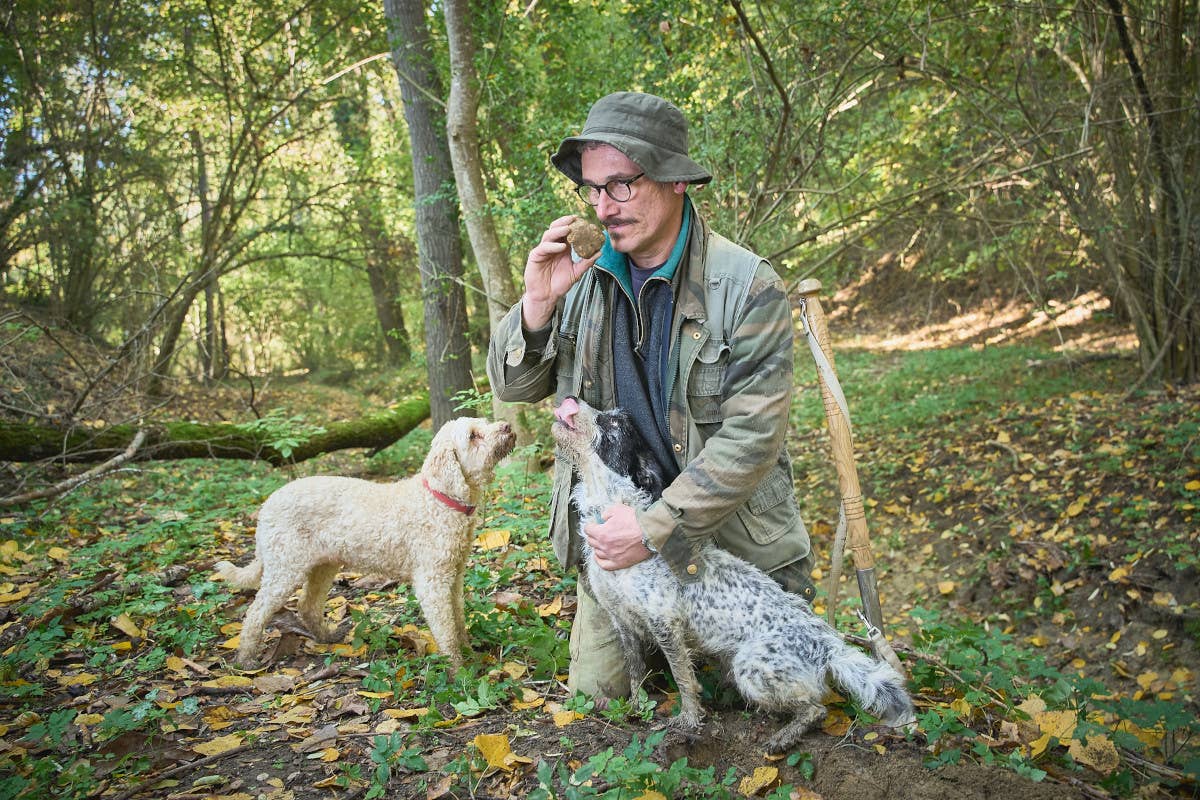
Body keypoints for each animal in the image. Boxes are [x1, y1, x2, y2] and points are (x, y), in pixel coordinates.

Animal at [216, 419, 516, 671]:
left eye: (484, 422)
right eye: (473, 435)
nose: (507, 426)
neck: (439, 499)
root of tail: (266, 506)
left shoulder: (454, 576)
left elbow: (459, 620)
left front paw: (470, 653)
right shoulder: (432, 582)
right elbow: (446, 630)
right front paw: (458, 669)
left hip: (323, 565)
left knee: (307, 605)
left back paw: (327, 637)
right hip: (285, 568)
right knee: (255, 613)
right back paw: (245, 659)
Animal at [554, 398, 916, 753]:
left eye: (614, 423)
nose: (569, 399)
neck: (607, 511)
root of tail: (829, 645)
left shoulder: (665, 623)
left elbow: (684, 679)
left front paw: (688, 721)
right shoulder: (621, 619)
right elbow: (635, 672)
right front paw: (636, 708)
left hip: (750, 665)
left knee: (816, 708)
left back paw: (782, 737)